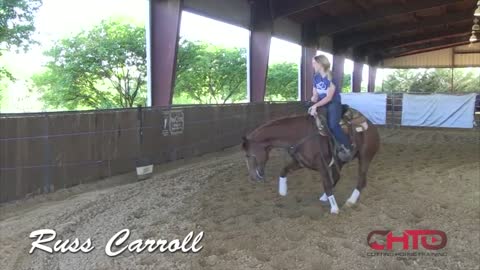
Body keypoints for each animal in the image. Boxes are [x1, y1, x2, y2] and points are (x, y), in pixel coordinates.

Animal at [242, 113, 380, 214]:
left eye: (249, 155)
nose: (253, 177)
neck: (300, 135)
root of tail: (371, 126)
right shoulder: (301, 163)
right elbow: (283, 170)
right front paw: (282, 191)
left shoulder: (322, 166)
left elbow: (327, 185)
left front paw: (334, 208)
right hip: (339, 161)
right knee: (337, 177)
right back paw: (324, 197)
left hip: (365, 158)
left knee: (361, 180)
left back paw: (350, 201)